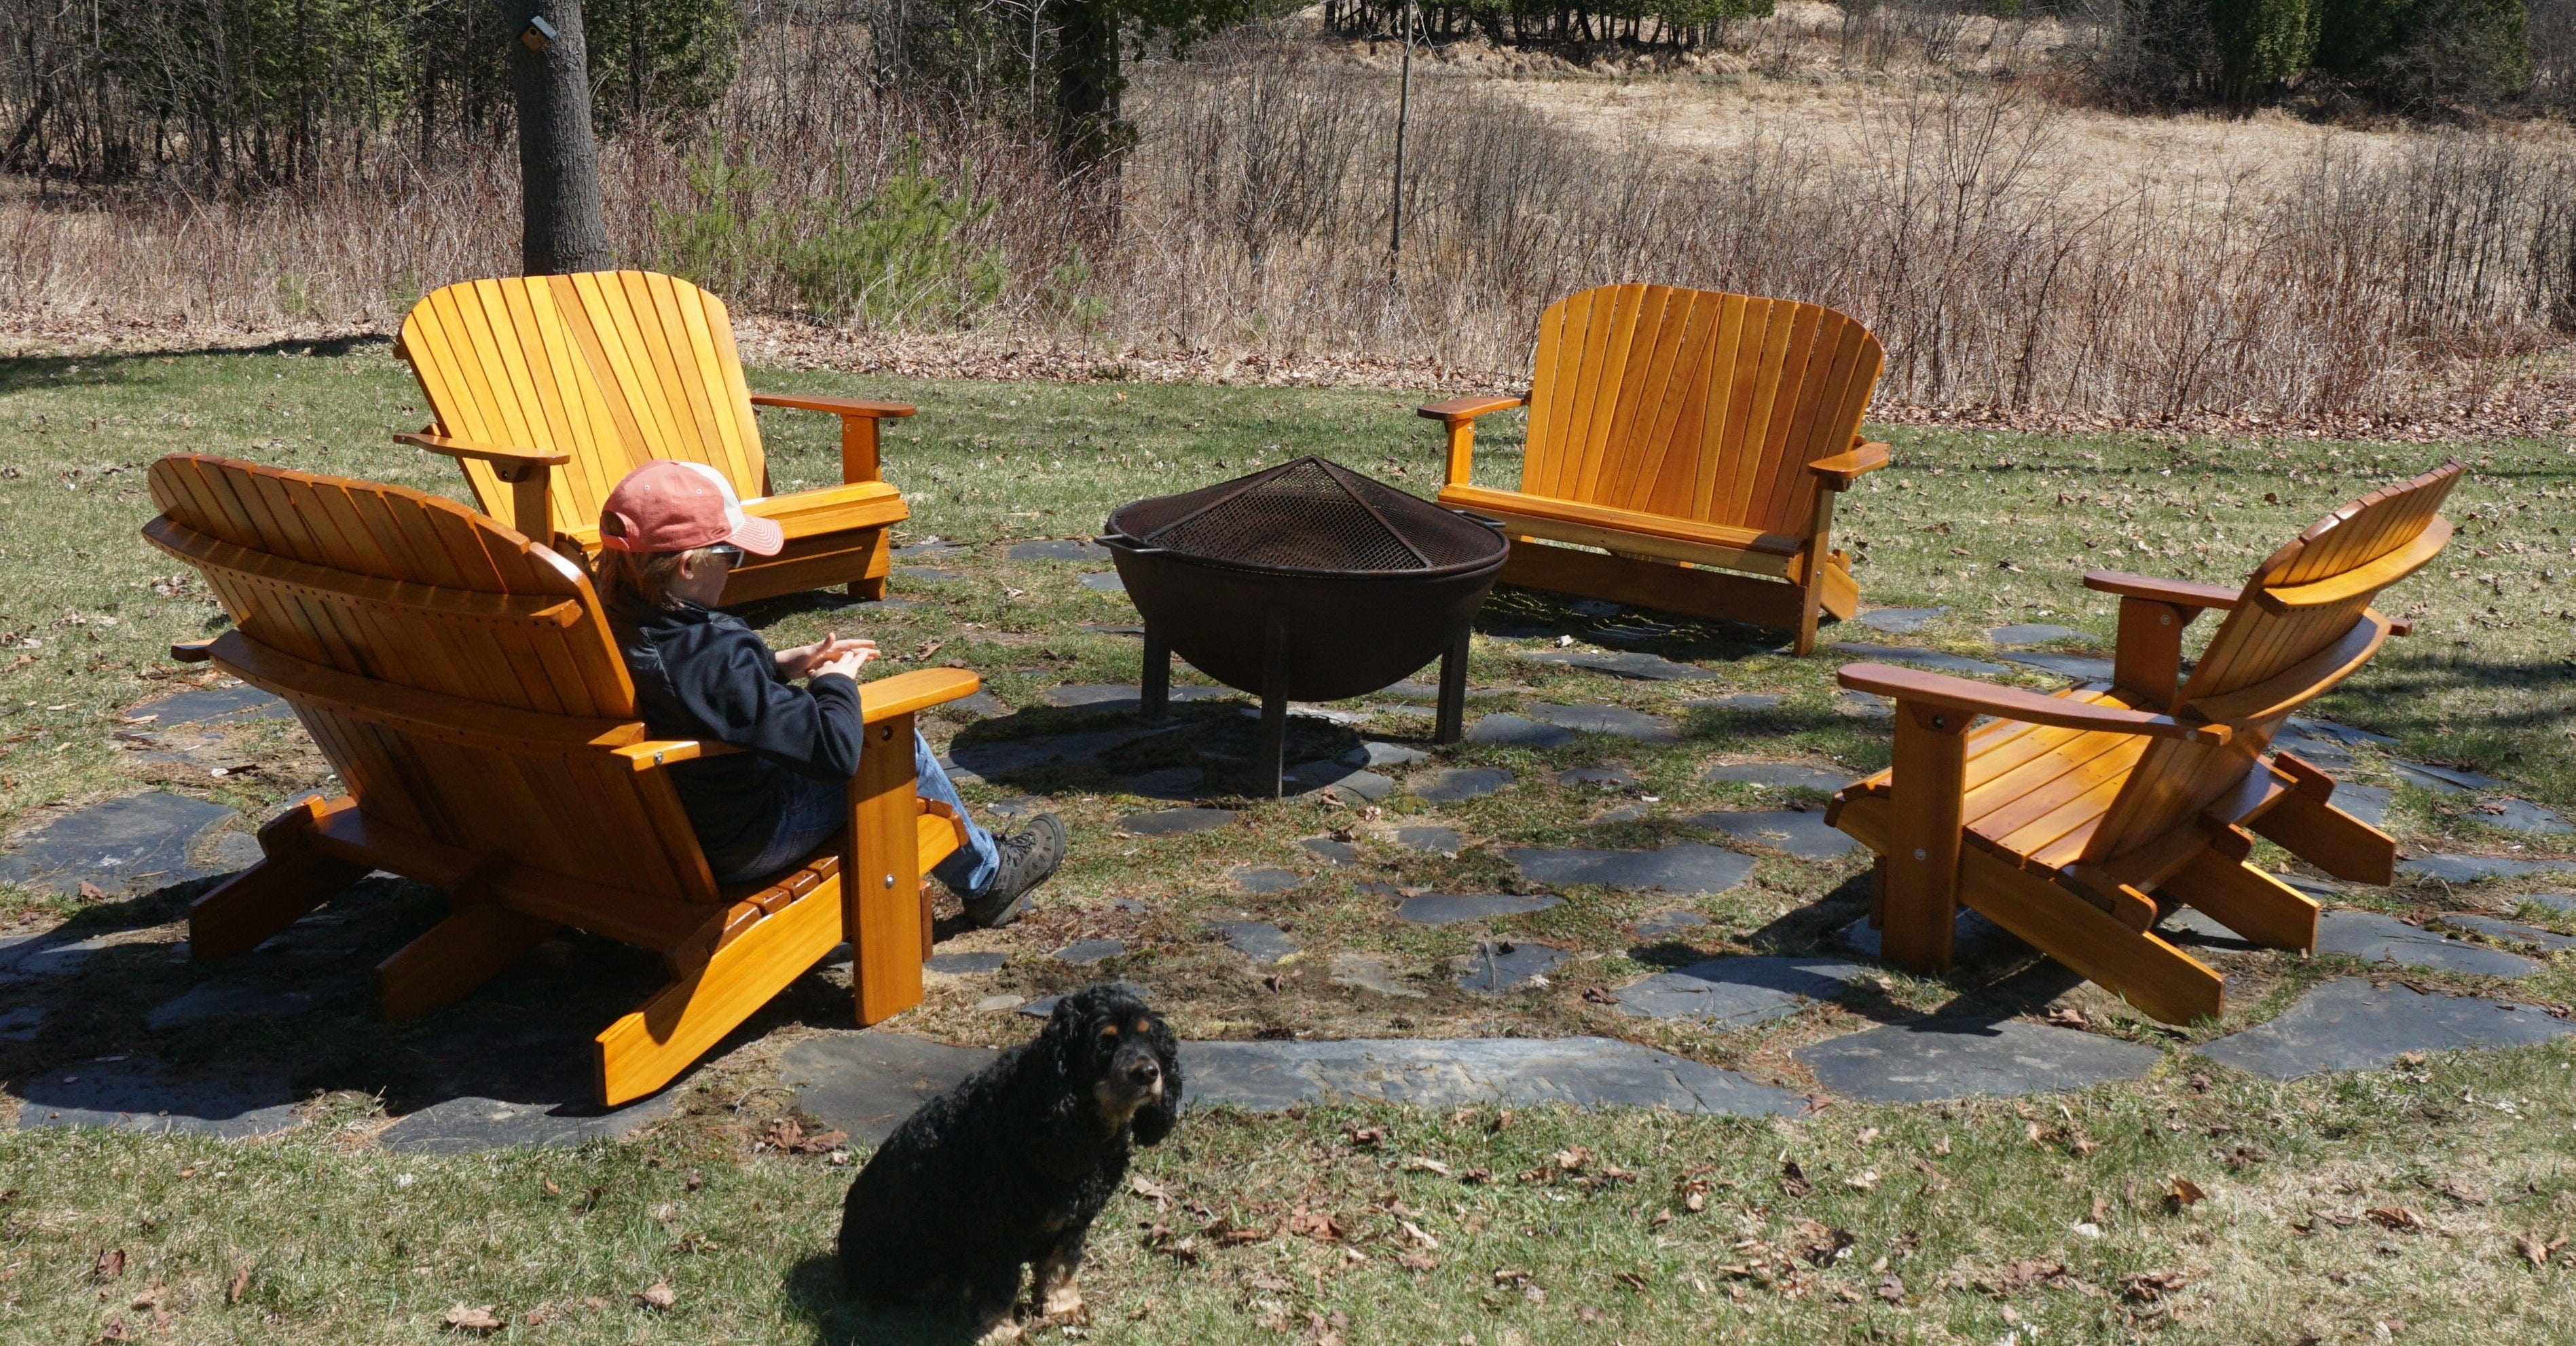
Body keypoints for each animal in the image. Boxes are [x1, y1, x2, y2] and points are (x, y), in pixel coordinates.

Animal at [839, 983, 1179, 1338]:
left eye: (1148, 1038)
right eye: (1104, 1043)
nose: (1149, 1073)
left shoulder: (1072, 1222)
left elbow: (1062, 1264)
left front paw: (1064, 1306)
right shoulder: (997, 1230)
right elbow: (996, 1286)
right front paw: (1001, 1331)